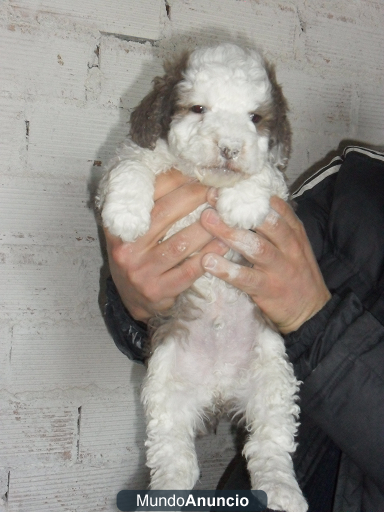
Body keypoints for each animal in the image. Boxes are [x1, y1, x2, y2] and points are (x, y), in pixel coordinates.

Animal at [97, 44, 308, 512]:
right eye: (198, 109)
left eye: (255, 118)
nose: (229, 148)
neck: (205, 182)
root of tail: (219, 392)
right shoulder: (135, 156)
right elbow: (130, 165)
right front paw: (127, 214)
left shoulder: (280, 190)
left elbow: (264, 174)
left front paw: (242, 202)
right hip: (165, 389)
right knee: (173, 453)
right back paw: (167, 491)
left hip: (273, 380)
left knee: (269, 445)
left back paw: (283, 490)